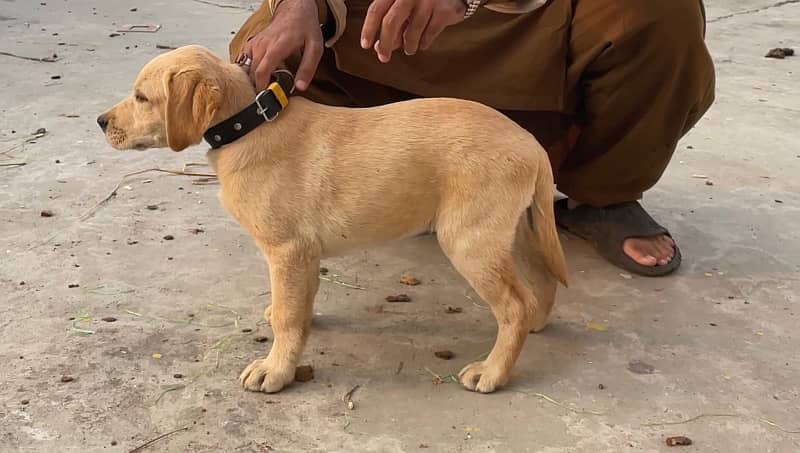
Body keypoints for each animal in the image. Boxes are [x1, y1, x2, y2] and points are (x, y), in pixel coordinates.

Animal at [98, 45, 568, 392]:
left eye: (142, 98)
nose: (101, 121)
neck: (250, 125)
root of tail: (531, 143)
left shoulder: (287, 251)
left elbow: (289, 318)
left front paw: (276, 370)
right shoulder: (303, 257)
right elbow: (298, 306)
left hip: (469, 241)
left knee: (513, 305)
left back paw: (492, 372)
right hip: (520, 231)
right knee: (539, 286)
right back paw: (534, 326)